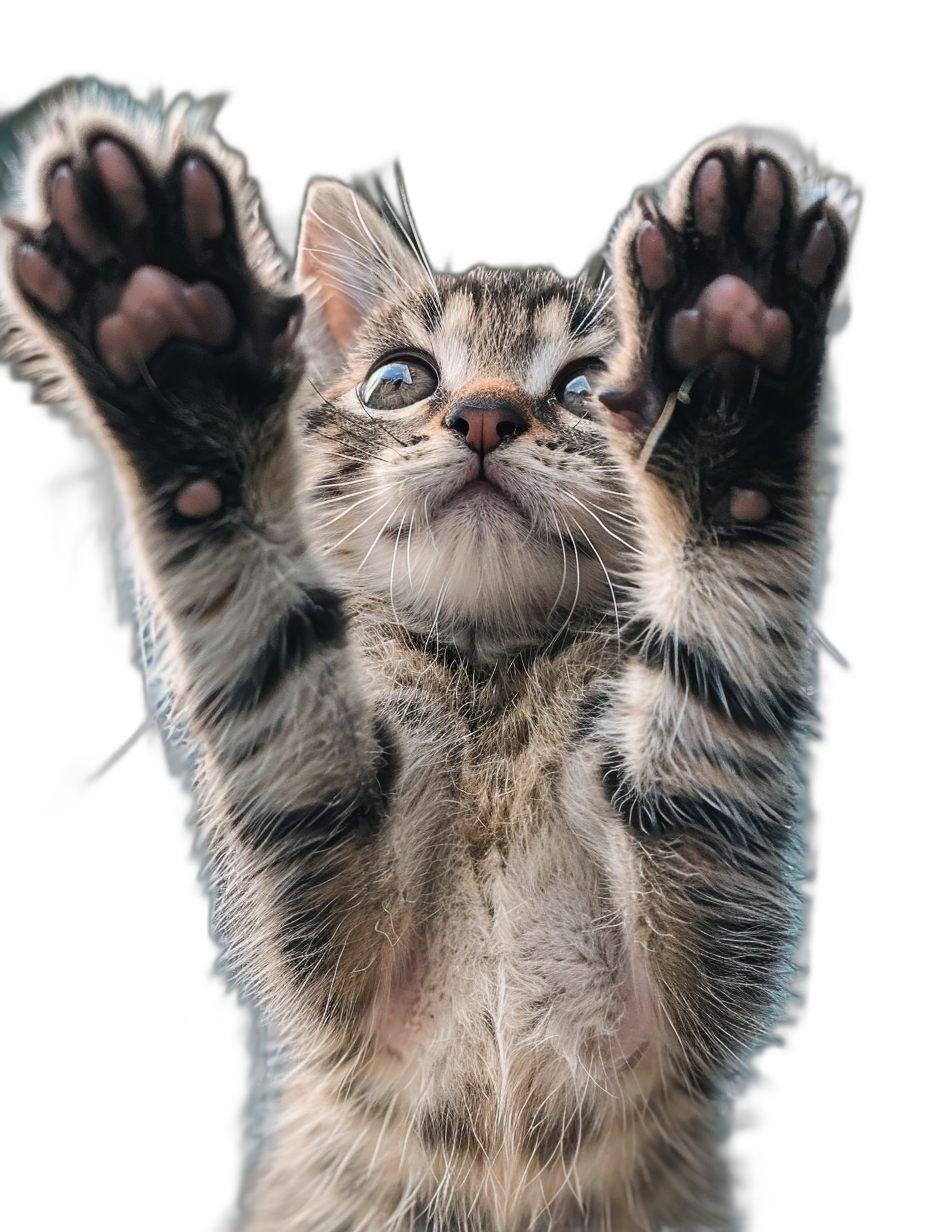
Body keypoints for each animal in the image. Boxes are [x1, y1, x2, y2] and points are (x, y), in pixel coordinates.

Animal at [0, 86, 852, 1232]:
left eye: (584, 384)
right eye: (399, 380)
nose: (483, 414)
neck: (491, 683)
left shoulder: (702, 947)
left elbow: (722, 658)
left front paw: (730, 386)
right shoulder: (329, 944)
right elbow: (266, 653)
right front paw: (178, 365)